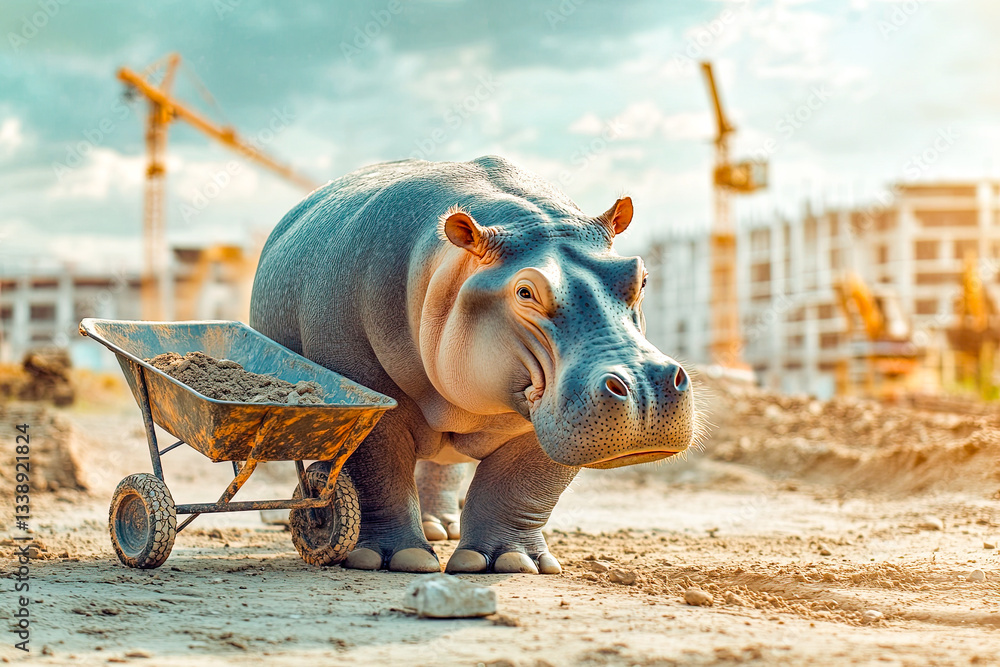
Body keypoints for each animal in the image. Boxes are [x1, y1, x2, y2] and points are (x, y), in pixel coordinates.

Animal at [249, 155, 695, 574]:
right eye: (525, 291)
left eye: (639, 275)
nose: (646, 388)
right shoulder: (366, 394)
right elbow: (379, 470)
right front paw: (396, 559)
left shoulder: (547, 412)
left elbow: (521, 485)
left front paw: (510, 561)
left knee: (441, 465)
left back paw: (440, 529)